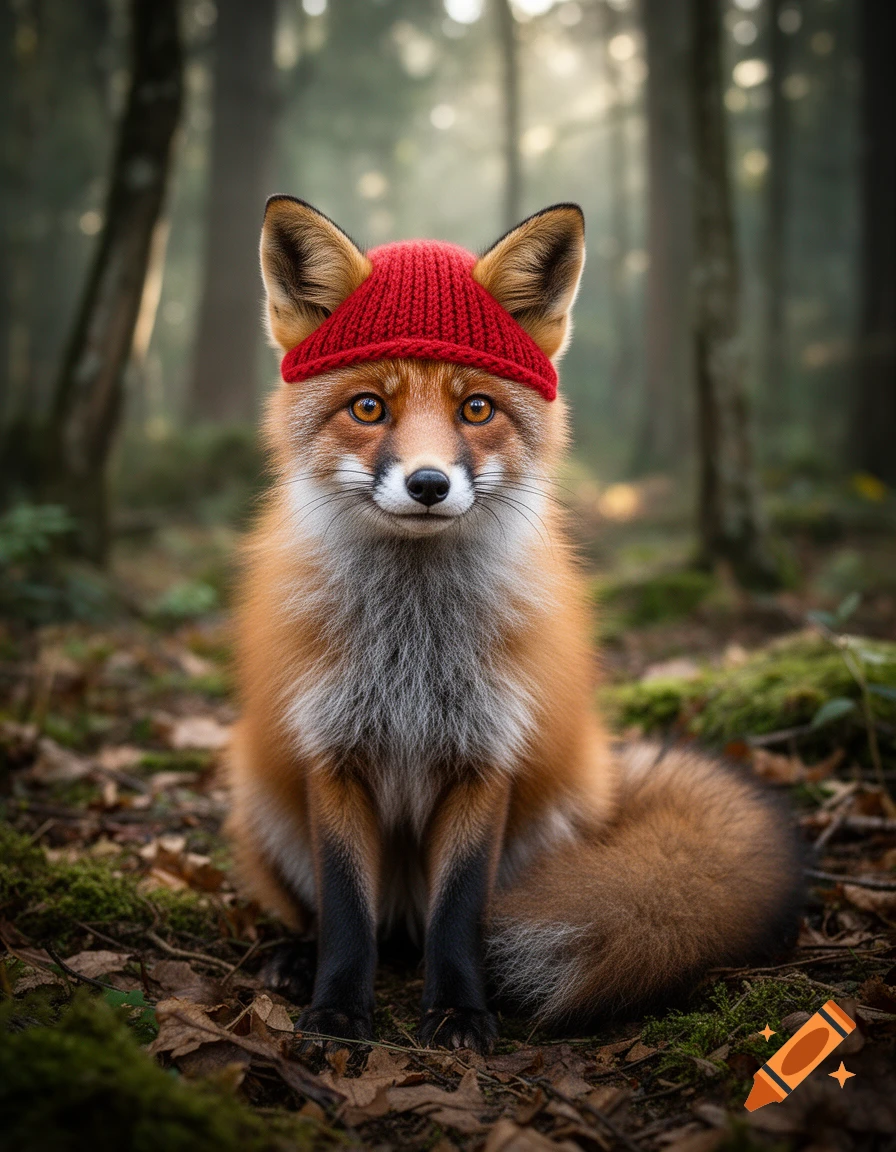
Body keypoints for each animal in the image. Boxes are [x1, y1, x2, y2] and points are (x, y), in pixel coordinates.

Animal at [227, 196, 803, 1055]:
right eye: (369, 407)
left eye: (477, 408)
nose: (429, 484)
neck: (413, 651)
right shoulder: (332, 754)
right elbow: (347, 913)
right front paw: (336, 1011)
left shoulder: (486, 755)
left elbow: (461, 913)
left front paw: (460, 1012)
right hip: (263, 794)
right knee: (336, 917)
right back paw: (295, 956)